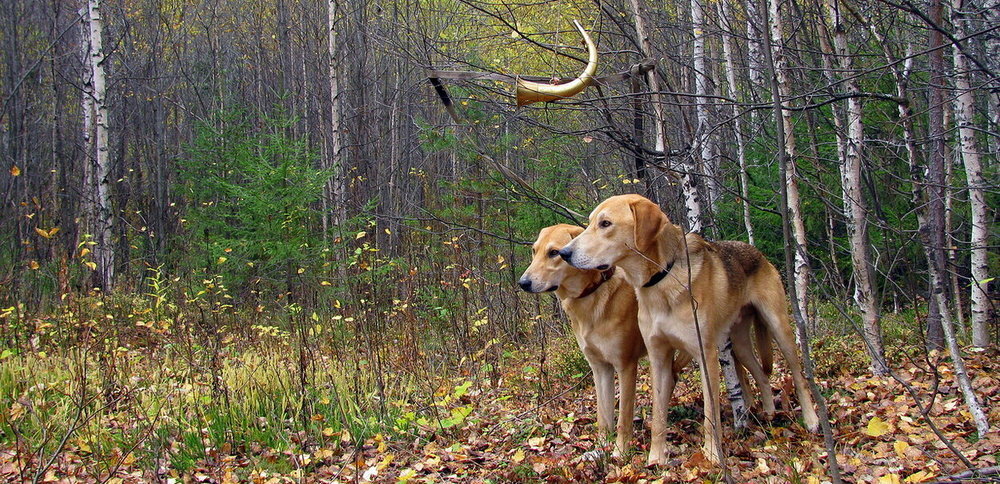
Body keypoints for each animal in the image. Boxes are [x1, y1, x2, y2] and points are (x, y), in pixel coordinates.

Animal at [520, 223, 784, 458]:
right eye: (534, 251)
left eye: (554, 252)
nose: (523, 283)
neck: (596, 292)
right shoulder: (600, 368)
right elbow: (603, 418)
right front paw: (601, 448)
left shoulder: (626, 366)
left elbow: (623, 418)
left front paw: (620, 452)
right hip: (735, 346)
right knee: (748, 377)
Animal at [560, 196, 816, 466]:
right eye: (590, 223)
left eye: (606, 223)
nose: (565, 253)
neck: (662, 278)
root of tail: (756, 252)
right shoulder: (658, 357)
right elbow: (658, 415)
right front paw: (656, 457)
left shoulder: (705, 356)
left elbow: (710, 414)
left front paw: (712, 455)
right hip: (740, 344)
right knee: (762, 375)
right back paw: (768, 413)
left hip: (779, 327)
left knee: (799, 376)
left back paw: (811, 420)